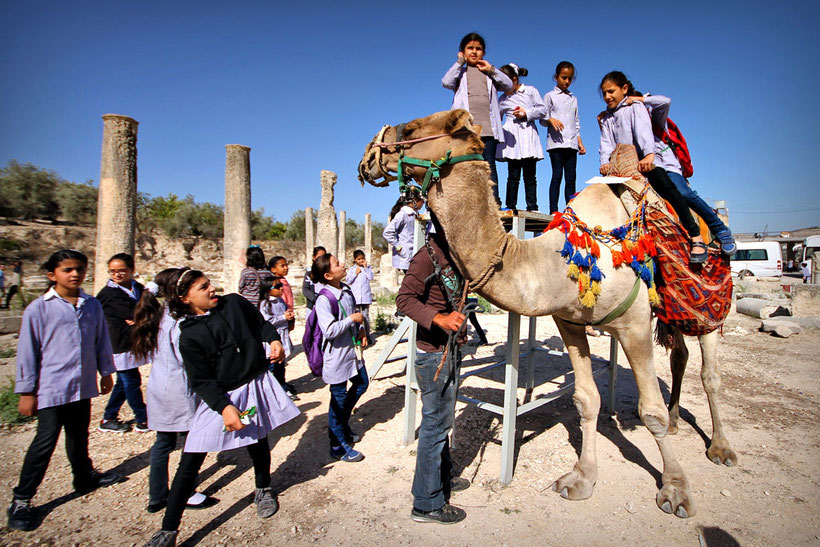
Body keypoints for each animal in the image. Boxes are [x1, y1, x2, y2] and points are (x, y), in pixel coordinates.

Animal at [358, 110, 736, 520]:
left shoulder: (633, 323)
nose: (366, 156)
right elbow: (586, 399)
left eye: (412, 129)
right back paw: (680, 420)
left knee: (710, 372)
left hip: (705, 300)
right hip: (669, 310)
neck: (561, 259)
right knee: (680, 353)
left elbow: (650, 412)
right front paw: (581, 479)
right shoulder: (569, 322)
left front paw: (676, 490)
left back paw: (720, 448)